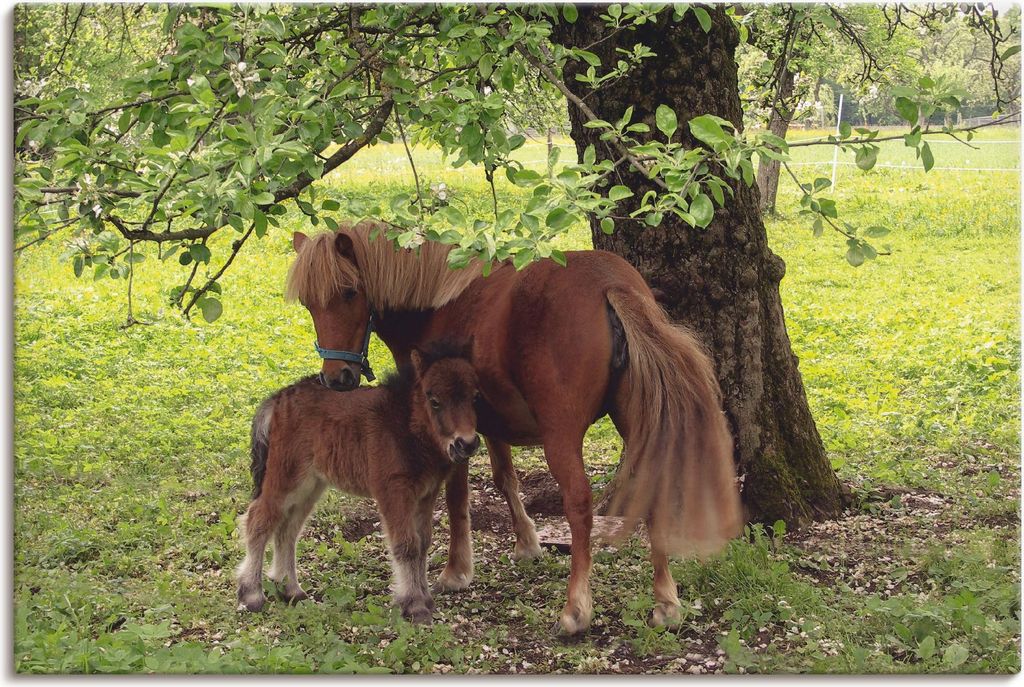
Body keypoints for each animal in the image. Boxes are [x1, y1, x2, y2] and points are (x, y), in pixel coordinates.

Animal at [236, 340, 481, 624]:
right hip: (285, 477)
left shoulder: (426, 494)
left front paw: (425, 600)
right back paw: (252, 594)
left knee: (288, 529)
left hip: (311, 485)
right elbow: (406, 545)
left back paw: (291, 590)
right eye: (434, 401)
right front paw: (414, 606)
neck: (405, 424)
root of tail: (278, 399)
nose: (466, 444)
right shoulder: (393, 491)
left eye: (474, 397)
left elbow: (422, 543)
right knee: (259, 520)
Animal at [286, 221, 743, 635]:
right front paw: (526, 542)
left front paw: (456, 570)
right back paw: (666, 602)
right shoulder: (488, 424)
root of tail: (610, 285)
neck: (437, 304)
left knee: (579, 506)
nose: (337, 378)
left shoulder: (450, 432)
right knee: (652, 488)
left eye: (349, 292)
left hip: (562, 437)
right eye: (307, 303)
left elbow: (457, 497)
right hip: (638, 422)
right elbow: (505, 478)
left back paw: (576, 610)